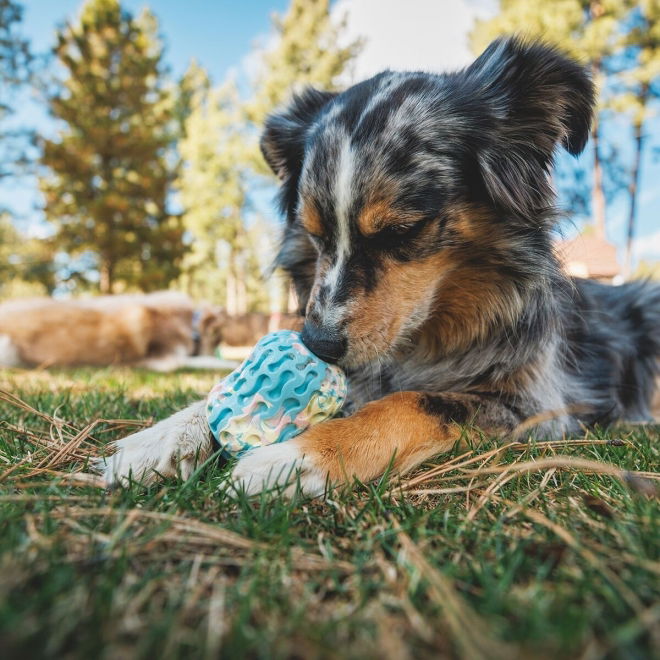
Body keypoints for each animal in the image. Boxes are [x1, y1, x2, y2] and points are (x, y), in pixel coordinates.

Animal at [96, 38, 660, 492]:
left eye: (403, 230)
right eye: (314, 231)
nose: (318, 344)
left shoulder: (539, 401)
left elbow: (416, 401)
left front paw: (301, 456)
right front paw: (163, 436)